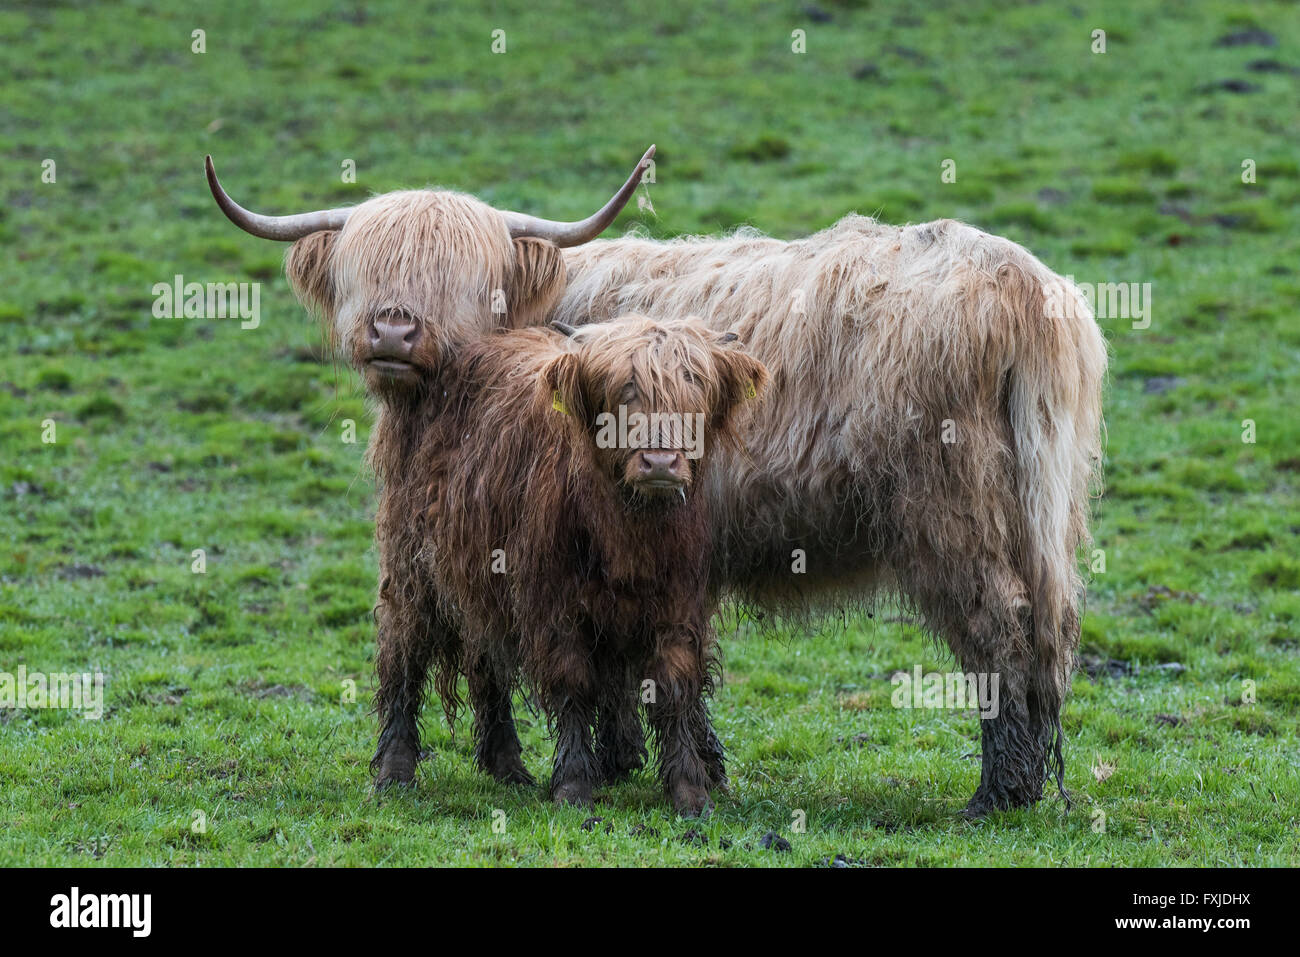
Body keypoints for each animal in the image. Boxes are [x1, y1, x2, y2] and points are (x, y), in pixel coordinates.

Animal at [205, 147, 1106, 816]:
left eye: (462, 274)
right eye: (365, 265)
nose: (394, 329)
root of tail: (1021, 282)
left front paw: (612, 764)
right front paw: (638, 761)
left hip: (951, 512)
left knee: (999, 631)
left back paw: (997, 791)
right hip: (1040, 513)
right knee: (1046, 635)